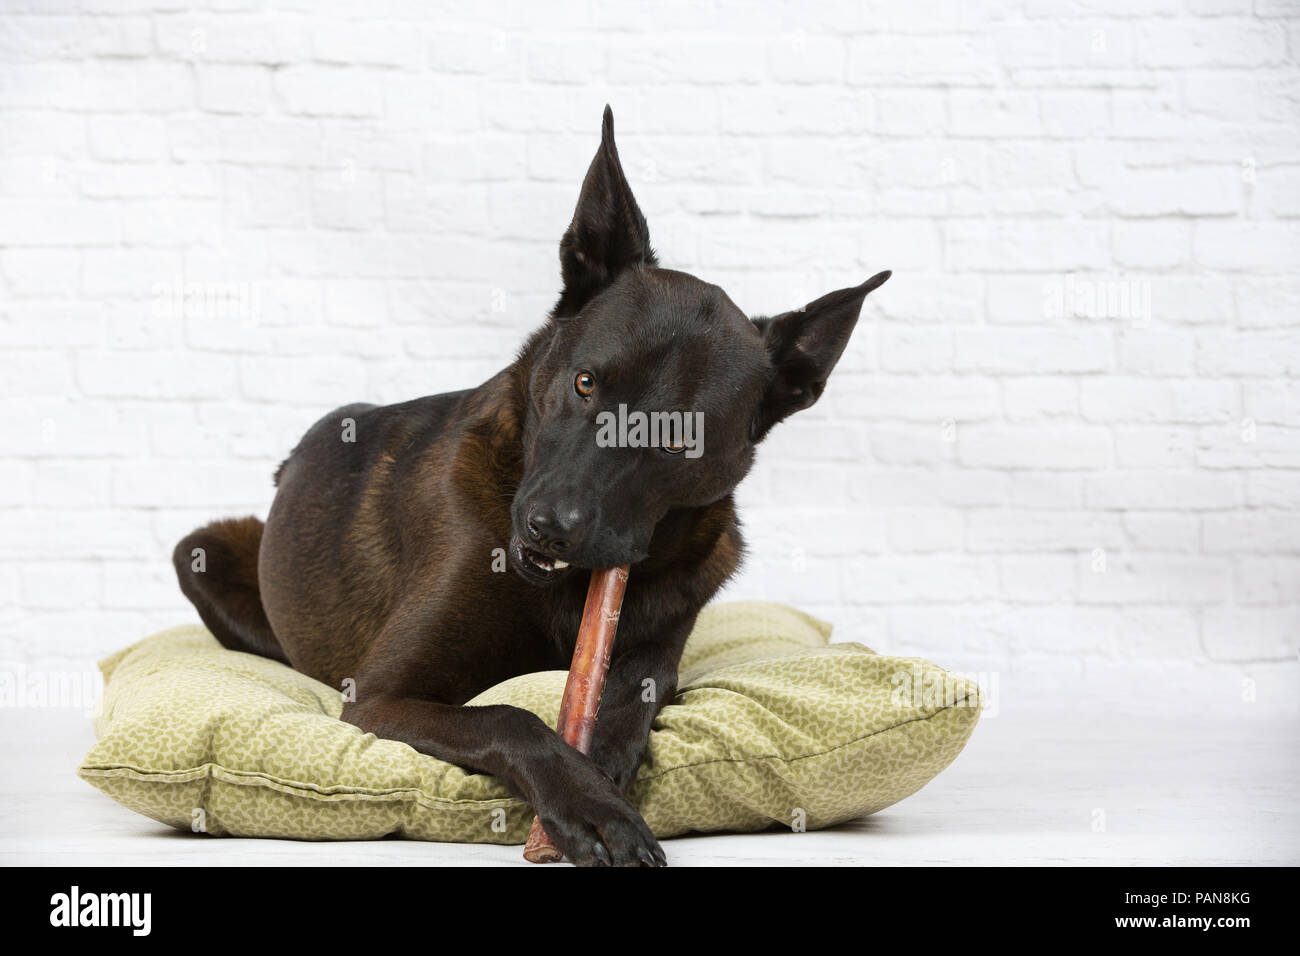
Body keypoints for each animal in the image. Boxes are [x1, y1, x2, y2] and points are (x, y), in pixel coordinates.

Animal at [172, 106, 889, 868]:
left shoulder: (662, 642)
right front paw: (588, 807)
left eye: (679, 439)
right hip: (203, 552)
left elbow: (635, 693)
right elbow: (510, 715)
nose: (551, 527)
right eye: (585, 382)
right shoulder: (378, 697)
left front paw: (605, 763)